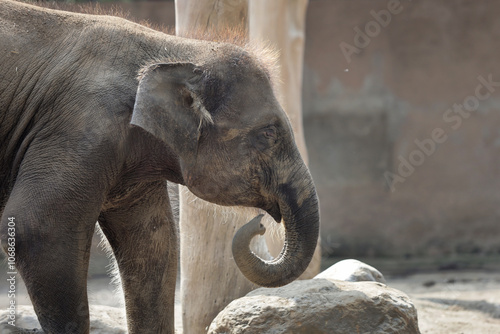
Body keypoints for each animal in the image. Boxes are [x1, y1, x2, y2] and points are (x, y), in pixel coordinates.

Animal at [0, 1, 320, 332]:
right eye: (269, 133)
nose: (259, 224)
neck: (173, 50)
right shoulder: (81, 126)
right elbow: (35, 229)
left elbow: (154, 245)